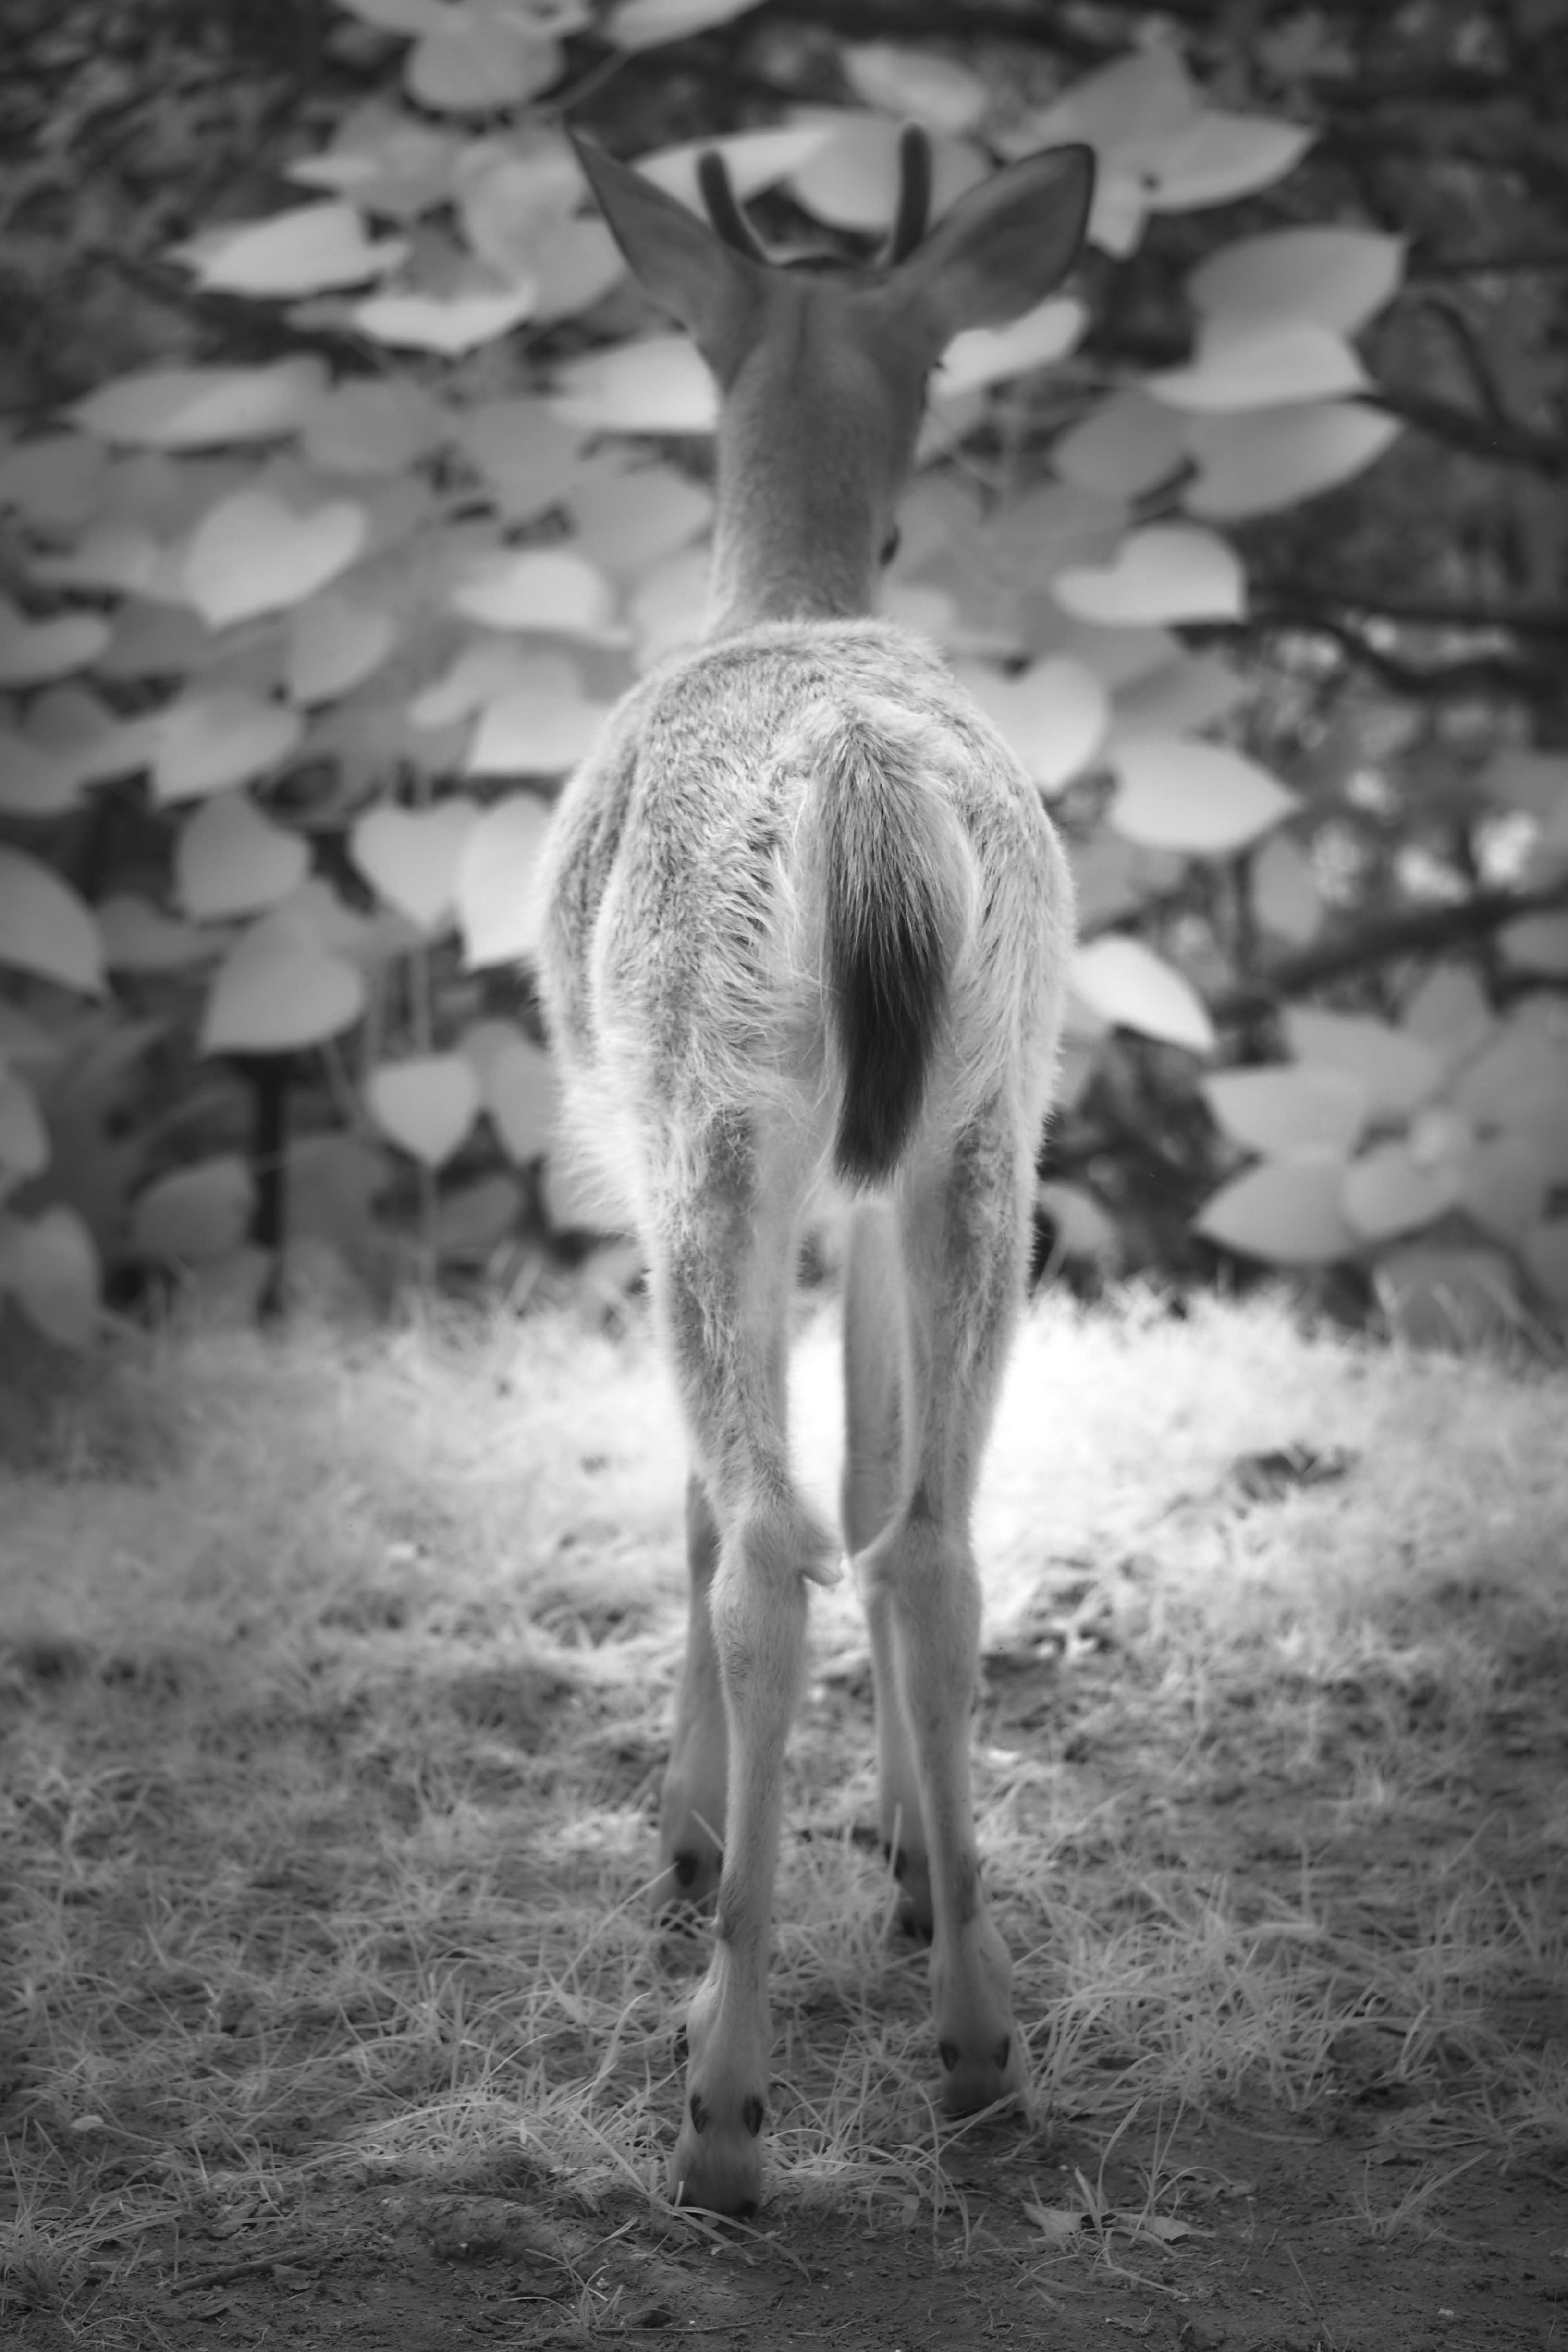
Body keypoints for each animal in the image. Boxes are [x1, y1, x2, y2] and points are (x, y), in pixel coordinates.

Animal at [537, 121, 1095, 2216]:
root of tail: (862, 778)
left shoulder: (662, 1155)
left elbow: (704, 1503)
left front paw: (688, 1833)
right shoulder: (868, 1198)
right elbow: (875, 1462)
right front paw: (914, 1863)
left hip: (713, 1123)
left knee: (765, 1531)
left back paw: (722, 2100)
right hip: (984, 1129)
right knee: (926, 1532)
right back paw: (980, 2048)